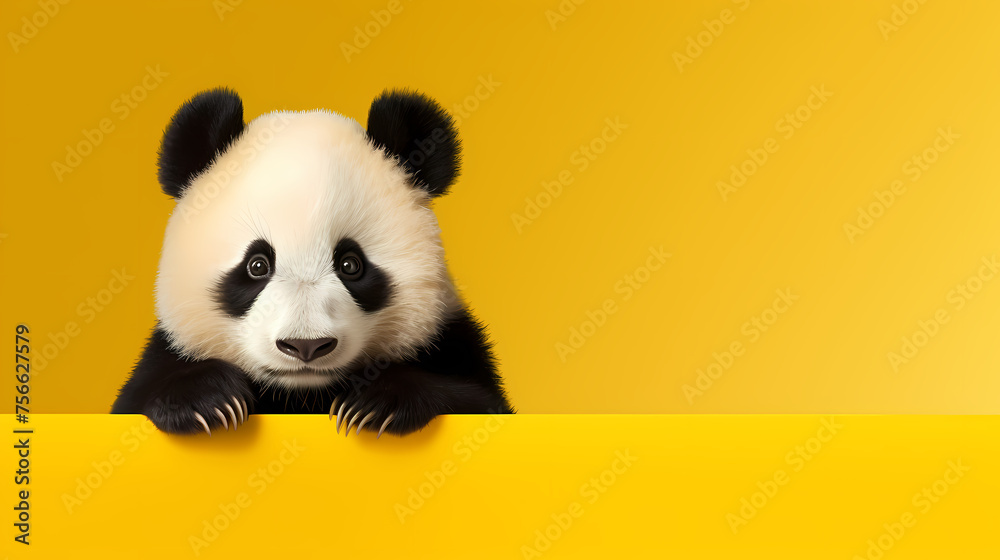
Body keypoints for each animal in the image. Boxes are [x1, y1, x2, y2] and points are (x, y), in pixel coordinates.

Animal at [111, 88, 513, 437]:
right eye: (257, 265)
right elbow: (142, 397)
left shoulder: (452, 344)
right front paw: (207, 400)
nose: (305, 346)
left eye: (351, 264)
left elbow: (480, 403)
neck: (303, 394)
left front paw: (377, 404)